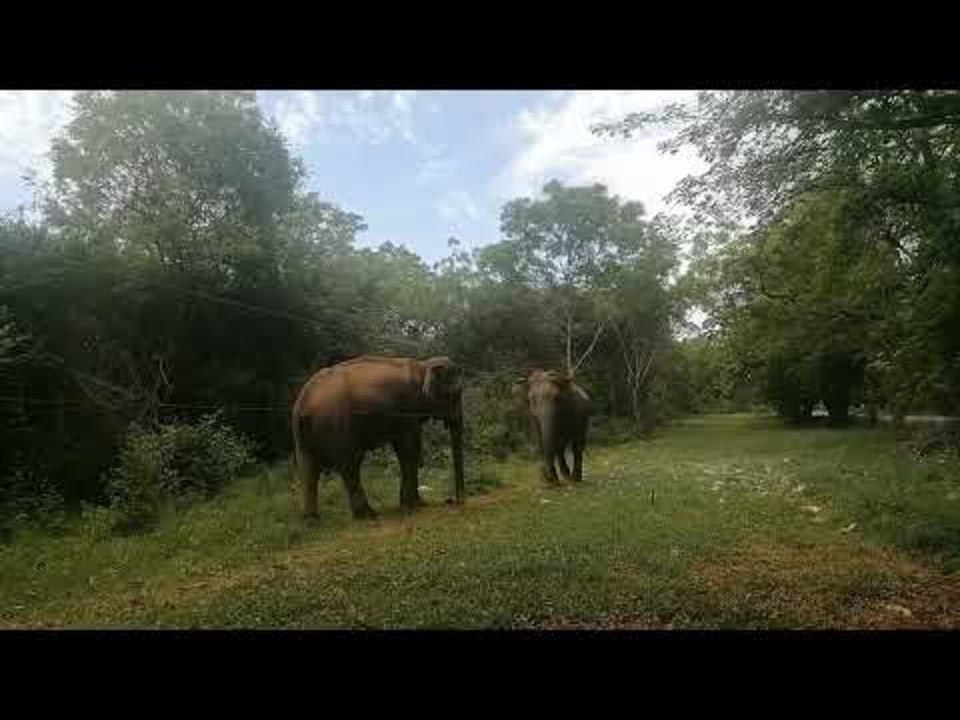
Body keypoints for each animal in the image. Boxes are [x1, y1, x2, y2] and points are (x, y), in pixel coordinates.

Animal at [291, 355, 465, 520]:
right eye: (456, 393)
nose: (455, 502)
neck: (423, 365)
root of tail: (302, 404)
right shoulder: (407, 410)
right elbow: (411, 448)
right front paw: (415, 506)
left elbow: (403, 449)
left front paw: (414, 504)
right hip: (336, 425)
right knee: (350, 465)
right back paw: (367, 515)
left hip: (302, 435)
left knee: (308, 468)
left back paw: (312, 519)